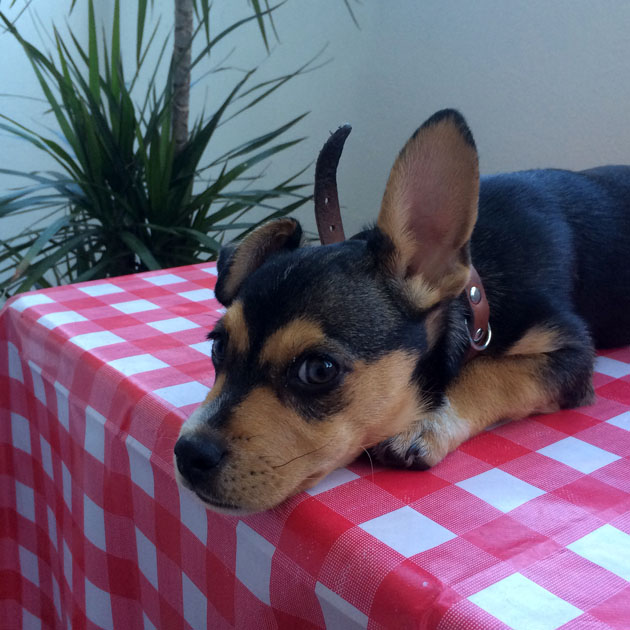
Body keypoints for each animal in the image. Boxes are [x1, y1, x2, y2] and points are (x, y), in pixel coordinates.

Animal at [174, 109, 630, 514]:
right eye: (218, 348)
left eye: (319, 370)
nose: (187, 453)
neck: (476, 294)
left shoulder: (572, 353)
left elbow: (489, 370)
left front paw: (424, 422)